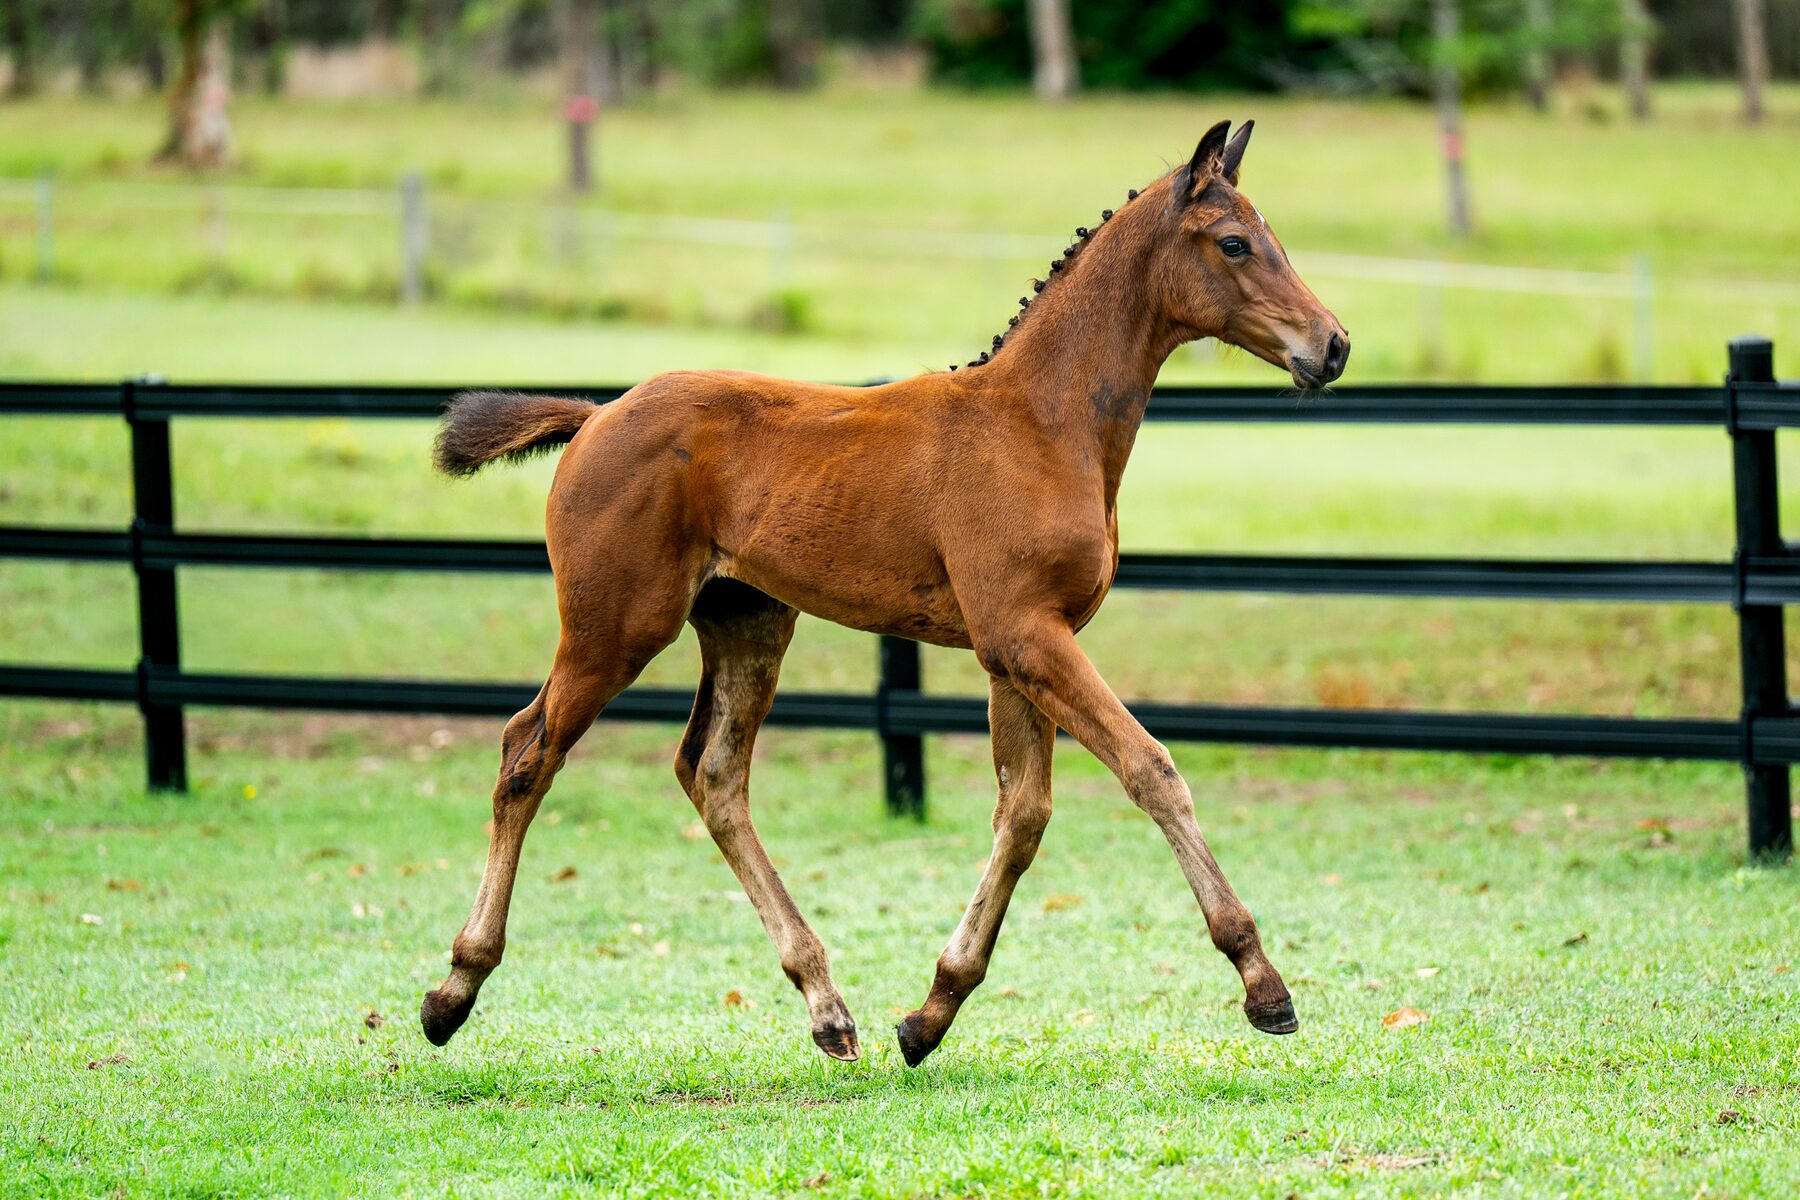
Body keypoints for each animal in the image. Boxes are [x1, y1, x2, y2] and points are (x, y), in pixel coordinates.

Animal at [421, 119, 1349, 1065]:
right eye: (1233, 243)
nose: (1334, 346)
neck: (1040, 424)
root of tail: (597, 415)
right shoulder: (1025, 636)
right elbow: (1150, 769)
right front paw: (1264, 984)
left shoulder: (1019, 649)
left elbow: (1023, 814)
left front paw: (930, 1011)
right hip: (615, 626)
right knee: (526, 752)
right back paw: (453, 990)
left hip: (748, 622)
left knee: (712, 773)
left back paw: (827, 1006)